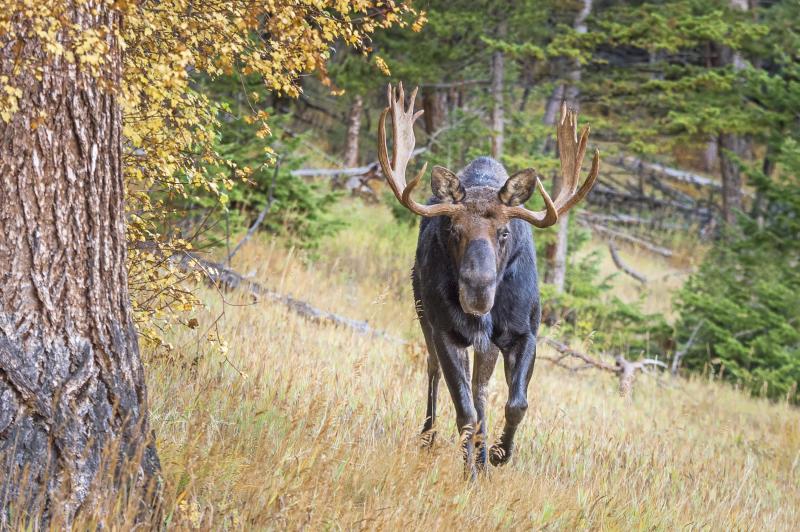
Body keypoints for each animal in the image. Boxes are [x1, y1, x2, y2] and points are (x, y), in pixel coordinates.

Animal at [378, 84, 596, 478]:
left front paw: (497, 453)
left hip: (486, 343)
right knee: (435, 372)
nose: (477, 289)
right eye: (453, 229)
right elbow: (464, 412)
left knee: (481, 387)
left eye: (504, 232)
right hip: (424, 315)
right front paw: (471, 470)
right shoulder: (445, 331)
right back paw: (430, 437)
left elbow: (516, 403)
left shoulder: (524, 332)